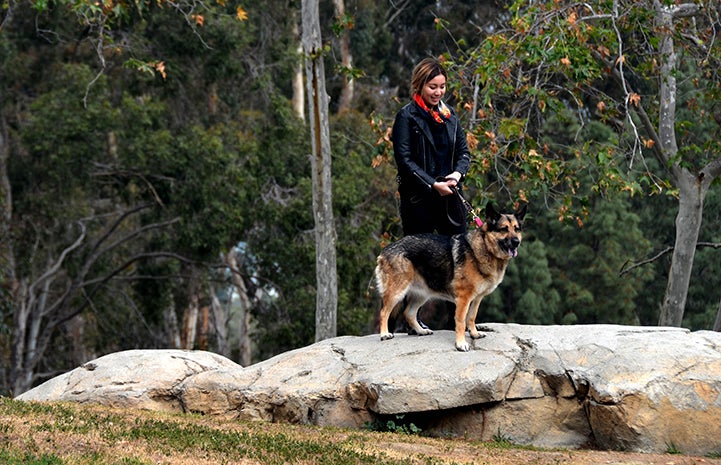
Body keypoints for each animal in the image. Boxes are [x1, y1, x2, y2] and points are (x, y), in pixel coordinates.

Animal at [376, 203, 524, 352]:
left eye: (516, 229)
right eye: (504, 229)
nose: (516, 242)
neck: (485, 247)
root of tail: (385, 250)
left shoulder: (477, 299)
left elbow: (471, 317)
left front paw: (474, 334)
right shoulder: (463, 299)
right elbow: (461, 321)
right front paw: (461, 343)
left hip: (422, 295)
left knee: (408, 313)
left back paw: (421, 331)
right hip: (397, 293)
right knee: (383, 312)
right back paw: (384, 334)